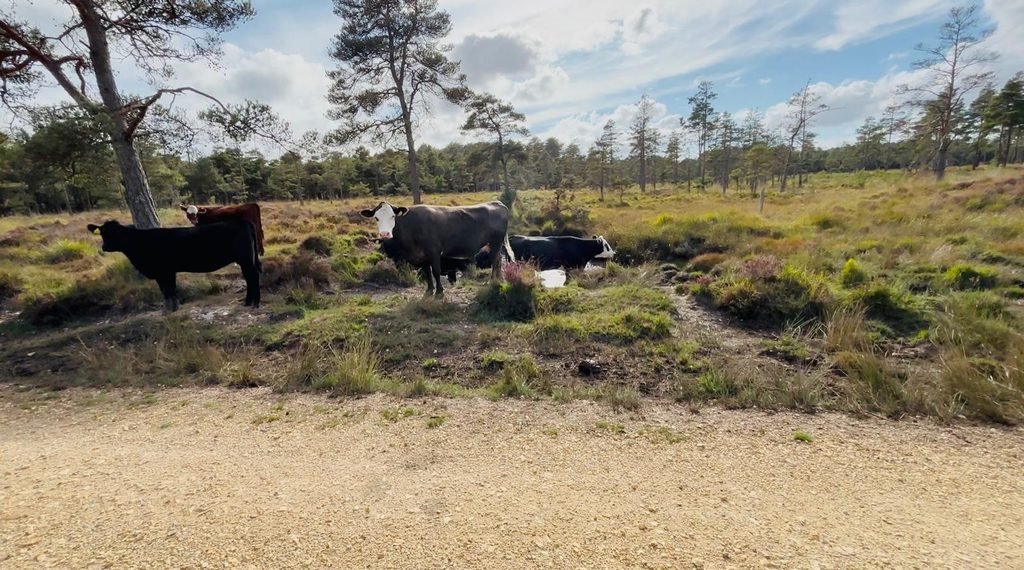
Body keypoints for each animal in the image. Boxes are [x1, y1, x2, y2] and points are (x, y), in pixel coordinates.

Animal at [86, 219, 261, 311]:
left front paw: (172, 309)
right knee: (250, 278)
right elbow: (165, 290)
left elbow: (169, 289)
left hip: (245, 259)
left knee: (253, 277)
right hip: (246, 260)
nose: (104, 247)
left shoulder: (166, 271)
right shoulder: (161, 273)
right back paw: (248, 302)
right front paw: (170, 308)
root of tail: (242, 221)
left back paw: (255, 303)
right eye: (102, 233)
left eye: (115, 233)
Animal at [360, 200, 513, 297]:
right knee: (498, 260)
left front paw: (439, 292)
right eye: (376, 218)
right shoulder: (422, 255)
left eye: (393, 216)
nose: (384, 234)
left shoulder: (433, 251)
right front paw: (429, 291)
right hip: (495, 244)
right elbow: (427, 272)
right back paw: (499, 280)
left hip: (496, 242)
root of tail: (497, 203)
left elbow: (436, 272)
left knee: (495, 261)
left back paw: (493, 281)